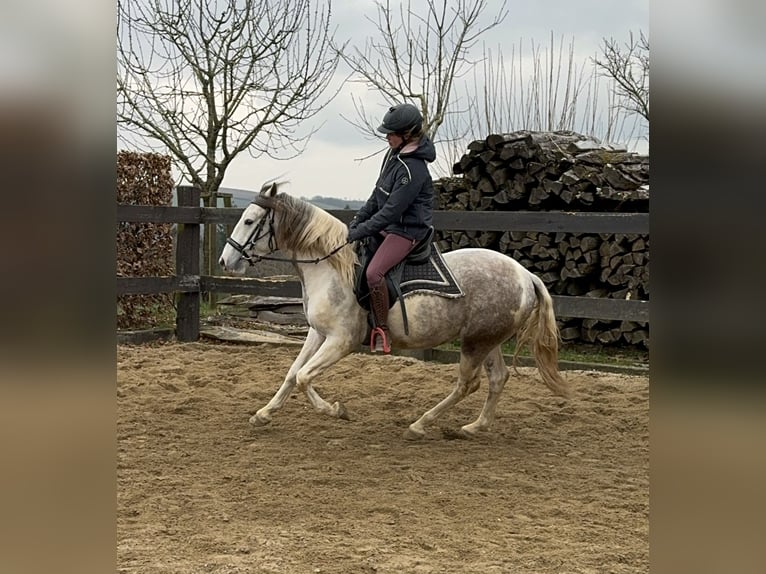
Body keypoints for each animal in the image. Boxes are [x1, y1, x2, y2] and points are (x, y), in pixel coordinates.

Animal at [218, 184, 568, 440]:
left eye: (249, 221)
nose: (225, 261)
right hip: (486, 339)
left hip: (475, 344)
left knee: (468, 384)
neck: (332, 268)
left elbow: (305, 377)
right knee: (497, 378)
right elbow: (293, 373)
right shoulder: (318, 333)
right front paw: (263, 414)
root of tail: (526, 275)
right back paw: (473, 427)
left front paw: (336, 410)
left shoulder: (342, 341)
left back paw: (420, 425)